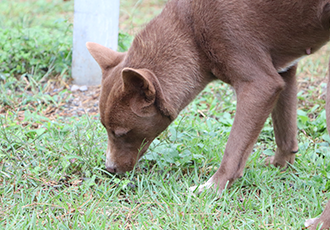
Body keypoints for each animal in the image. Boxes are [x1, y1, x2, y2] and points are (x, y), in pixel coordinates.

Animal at [87, 0, 330, 228]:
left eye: (120, 133)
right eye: (106, 129)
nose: (110, 168)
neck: (191, 30)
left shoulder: (260, 83)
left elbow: (234, 150)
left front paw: (212, 188)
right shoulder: (284, 71)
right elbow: (285, 132)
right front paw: (280, 167)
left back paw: (319, 223)